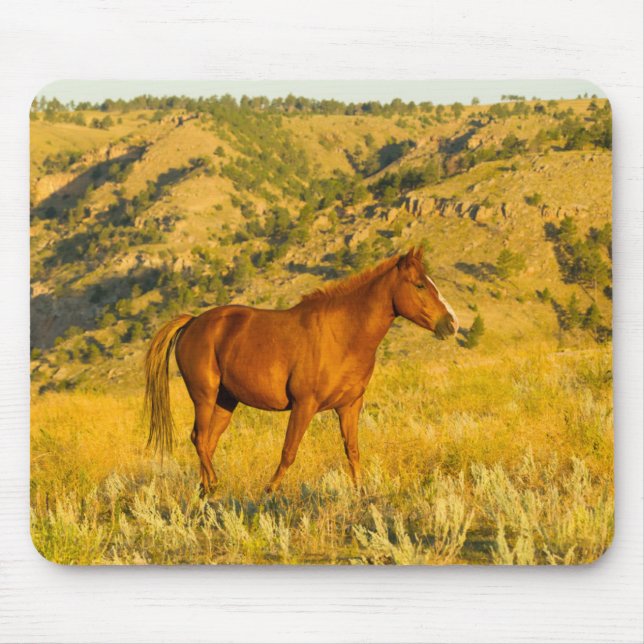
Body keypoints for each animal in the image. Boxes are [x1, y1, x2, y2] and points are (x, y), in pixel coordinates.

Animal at [144, 247, 458, 494]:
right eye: (419, 285)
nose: (451, 324)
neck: (342, 334)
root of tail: (193, 322)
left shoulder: (350, 406)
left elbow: (352, 451)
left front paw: (360, 492)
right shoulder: (304, 405)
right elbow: (289, 452)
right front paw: (269, 491)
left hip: (225, 401)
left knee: (207, 443)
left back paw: (206, 490)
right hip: (204, 396)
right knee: (198, 438)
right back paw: (214, 485)